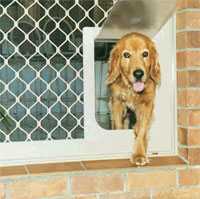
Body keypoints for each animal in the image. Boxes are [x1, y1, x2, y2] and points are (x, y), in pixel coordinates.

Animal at [107, 32, 160, 166]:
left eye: (145, 54)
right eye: (126, 55)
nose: (138, 74)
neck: (132, 90)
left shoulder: (147, 104)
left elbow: (141, 129)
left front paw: (139, 155)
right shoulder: (117, 103)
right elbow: (118, 125)